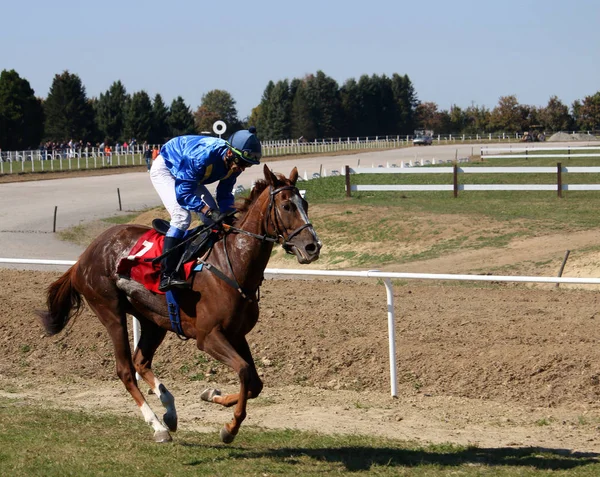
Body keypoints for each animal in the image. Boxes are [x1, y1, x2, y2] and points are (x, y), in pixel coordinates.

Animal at [38, 165, 322, 444]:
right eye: (287, 206)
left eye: (305, 203)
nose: (312, 247)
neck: (232, 263)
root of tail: (82, 258)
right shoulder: (208, 336)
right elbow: (243, 371)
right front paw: (230, 428)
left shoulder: (237, 334)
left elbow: (255, 384)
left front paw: (212, 395)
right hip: (110, 311)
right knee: (126, 370)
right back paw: (157, 426)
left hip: (153, 320)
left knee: (141, 362)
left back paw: (170, 411)